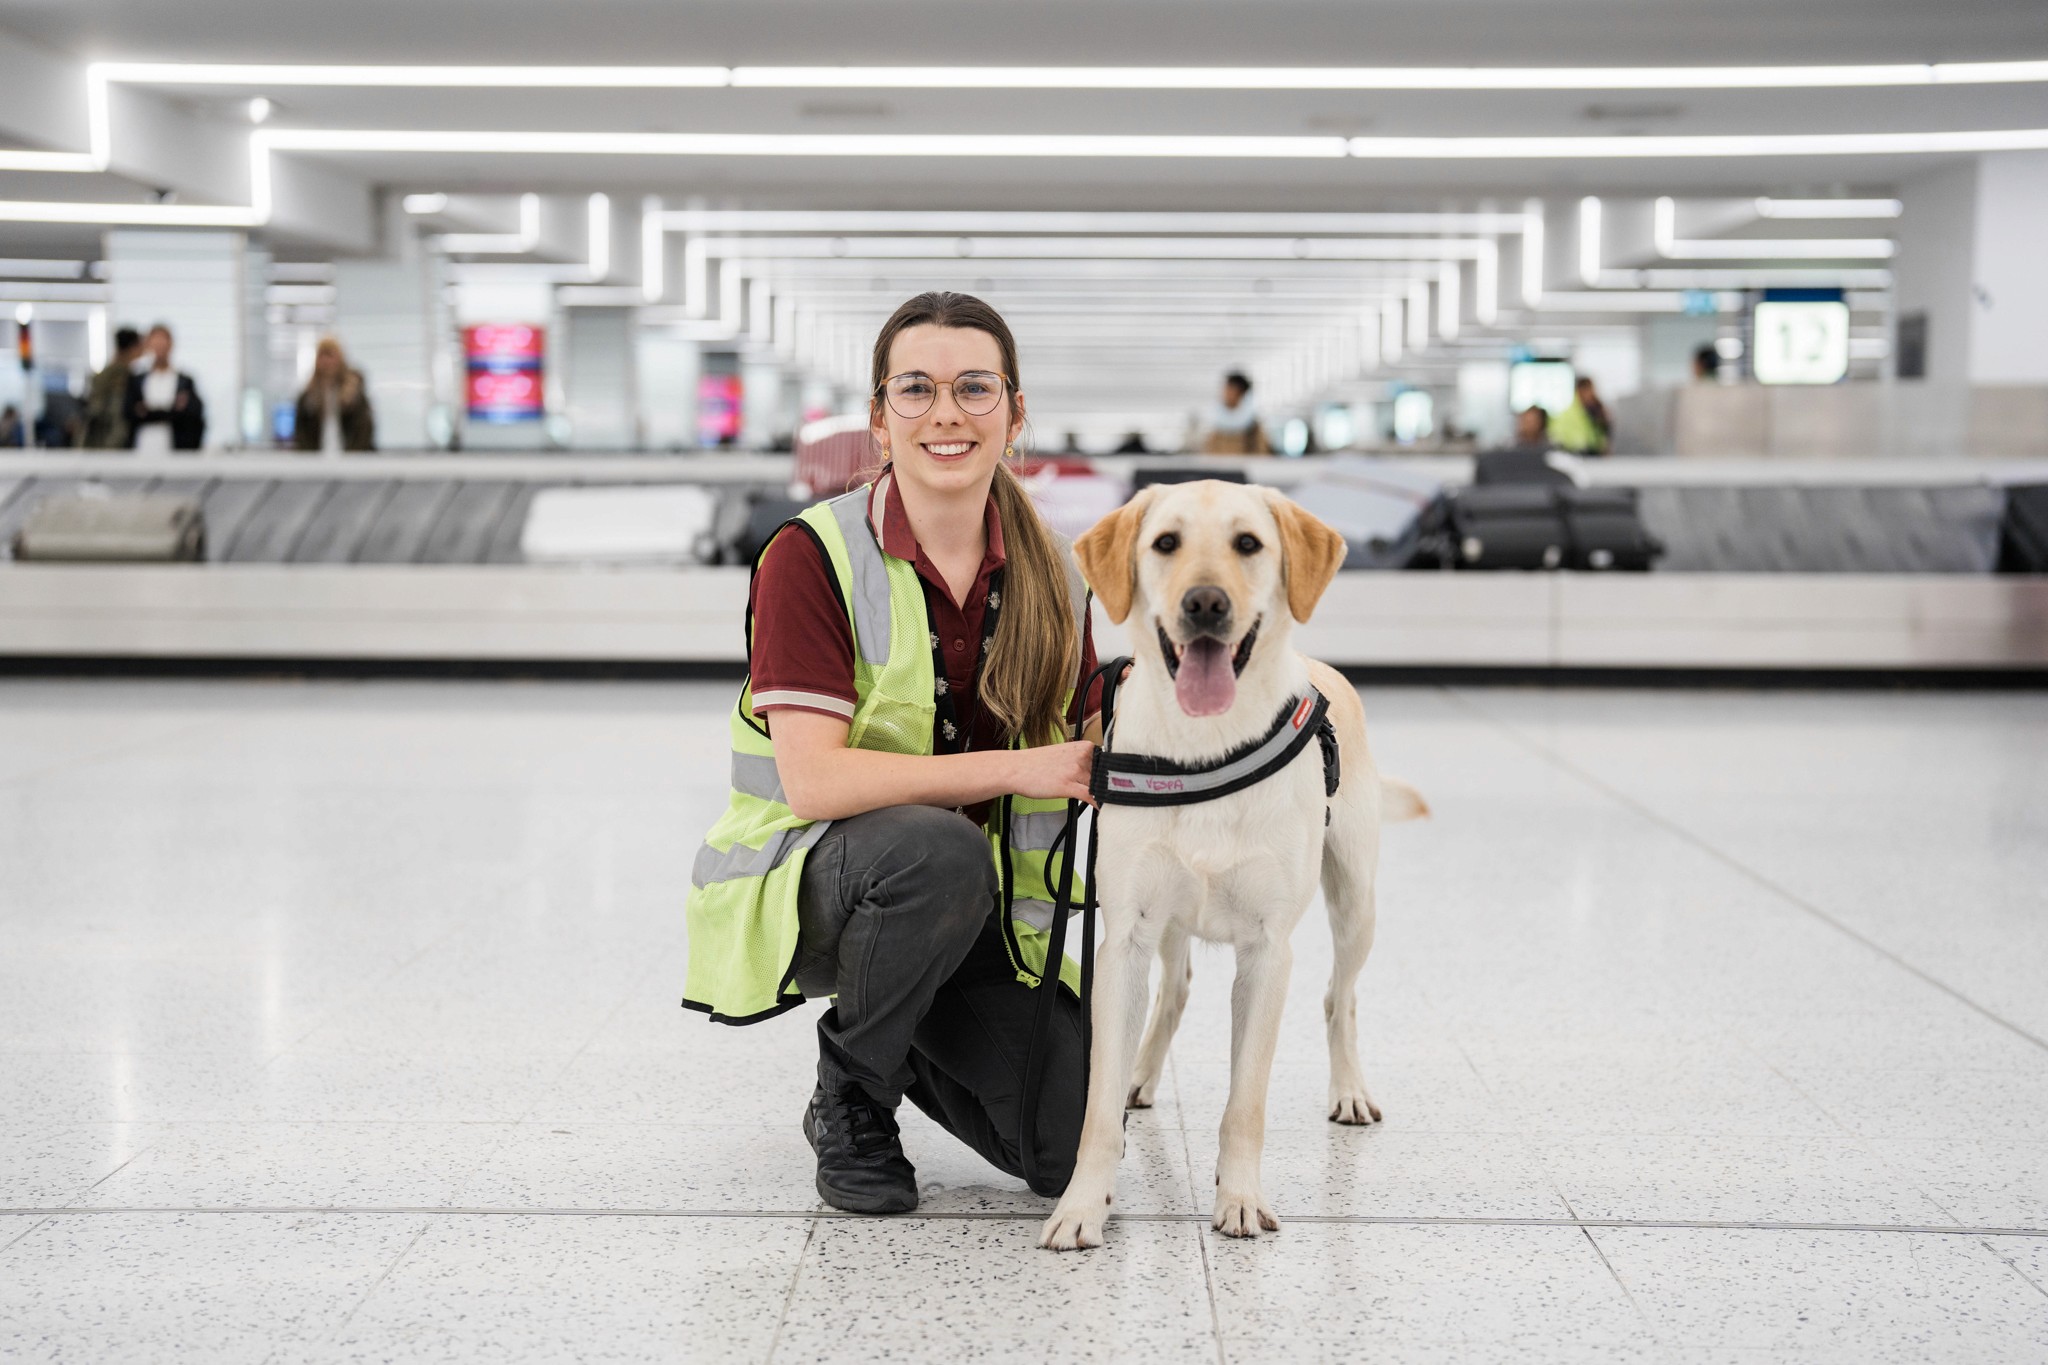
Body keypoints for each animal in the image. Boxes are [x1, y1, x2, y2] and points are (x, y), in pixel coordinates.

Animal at [1040, 478, 1425, 1252]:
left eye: (1248, 543)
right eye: (1166, 543)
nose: (1206, 604)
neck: (1204, 748)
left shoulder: (1267, 951)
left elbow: (1245, 1101)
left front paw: (1240, 1198)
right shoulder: (1125, 938)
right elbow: (1097, 1106)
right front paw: (1083, 1204)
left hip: (1355, 901)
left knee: (1341, 997)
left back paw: (1349, 1089)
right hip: (1169, 923)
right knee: (1176, 989)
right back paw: (1142, 1073)